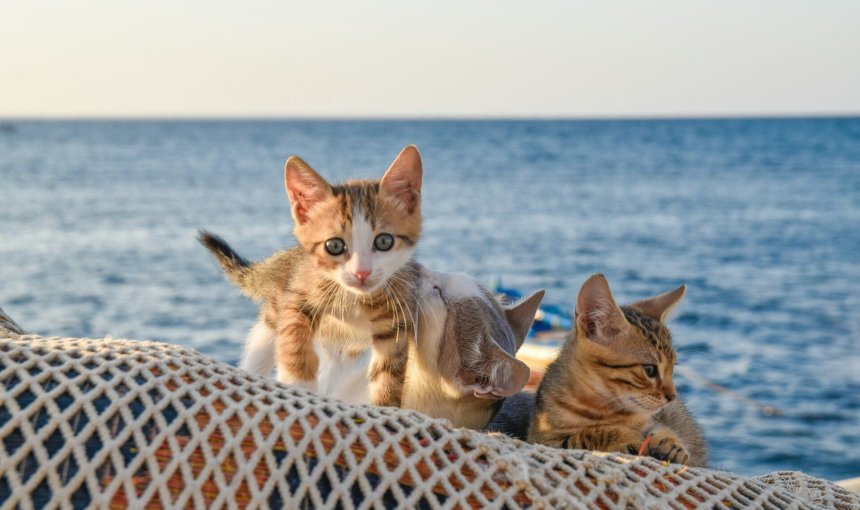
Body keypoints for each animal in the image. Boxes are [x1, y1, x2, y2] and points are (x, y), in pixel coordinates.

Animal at [200, 145, 422, 408]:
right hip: (272, 317)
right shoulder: (297, 296)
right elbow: (294, 339)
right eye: (334, 246)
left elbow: (388, 370)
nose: (361, 272)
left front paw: (384, 406)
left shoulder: (397, 314)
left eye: (384, 241)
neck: (353, 297)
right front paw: (299, 385)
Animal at [532, 274, 704, 466]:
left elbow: (657, 426)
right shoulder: (544, 440)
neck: (605, 408)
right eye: (649, 370)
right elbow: (590, 433)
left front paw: (670, 442)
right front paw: (623, 435)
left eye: (672, 368)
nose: (672, 397)